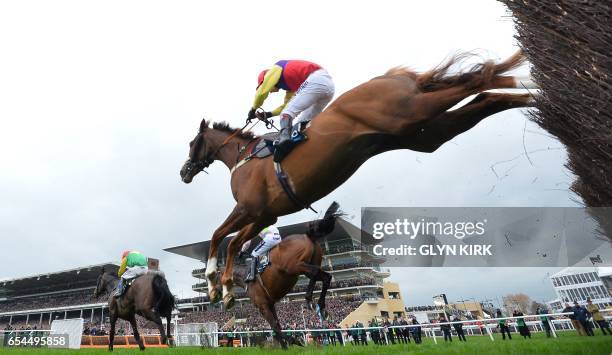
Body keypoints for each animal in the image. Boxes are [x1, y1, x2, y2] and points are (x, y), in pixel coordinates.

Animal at [180, 50, 536, 308]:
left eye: (192, 143)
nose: (184, 172)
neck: (244, 158)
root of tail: (391, 77)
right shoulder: (264, 214)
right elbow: (234, 243)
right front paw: (226, 289)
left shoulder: (249, 209)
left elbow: (219, 236)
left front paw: (216, 284)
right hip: (426, 132)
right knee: (485, 96)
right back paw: (532, 95)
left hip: (413, 111)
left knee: (478, 79)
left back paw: (528, 80)